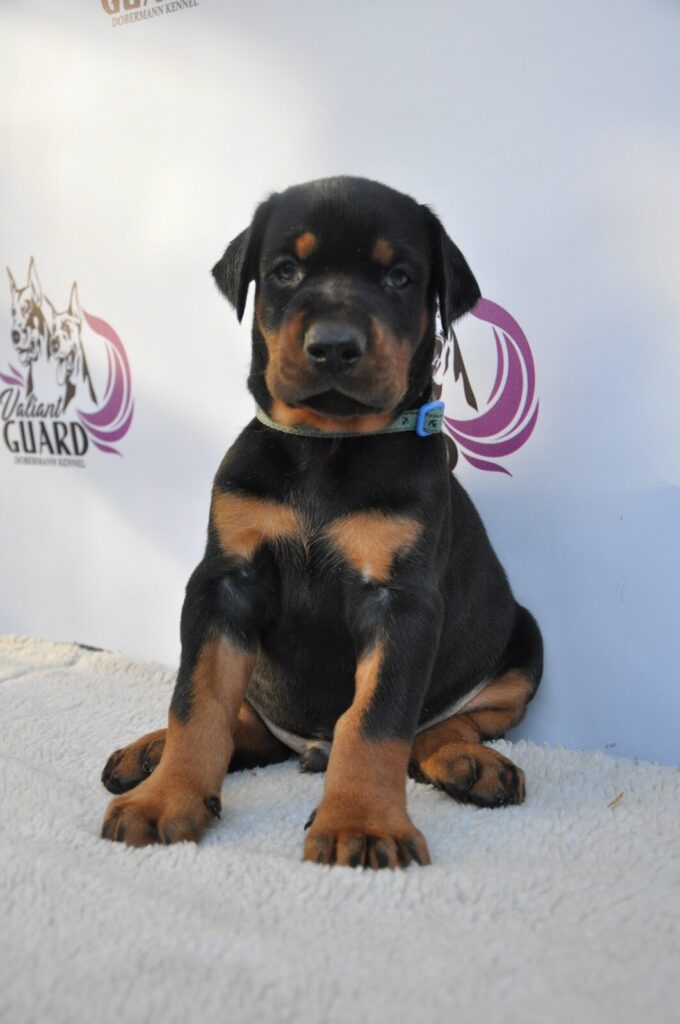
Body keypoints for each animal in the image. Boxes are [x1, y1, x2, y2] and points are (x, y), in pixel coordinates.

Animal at [102, 178, 540, 872]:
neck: (327, 446)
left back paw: (470, 763)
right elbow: (198, 702)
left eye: (399, 277)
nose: (334, 345)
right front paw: (164, 799)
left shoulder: (400, 600)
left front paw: (362, 822)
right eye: (286, 271)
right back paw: (149, 753)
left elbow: (375, 720)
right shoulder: (225, 582)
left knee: (439, 727)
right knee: (243, 725)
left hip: (525, 643)